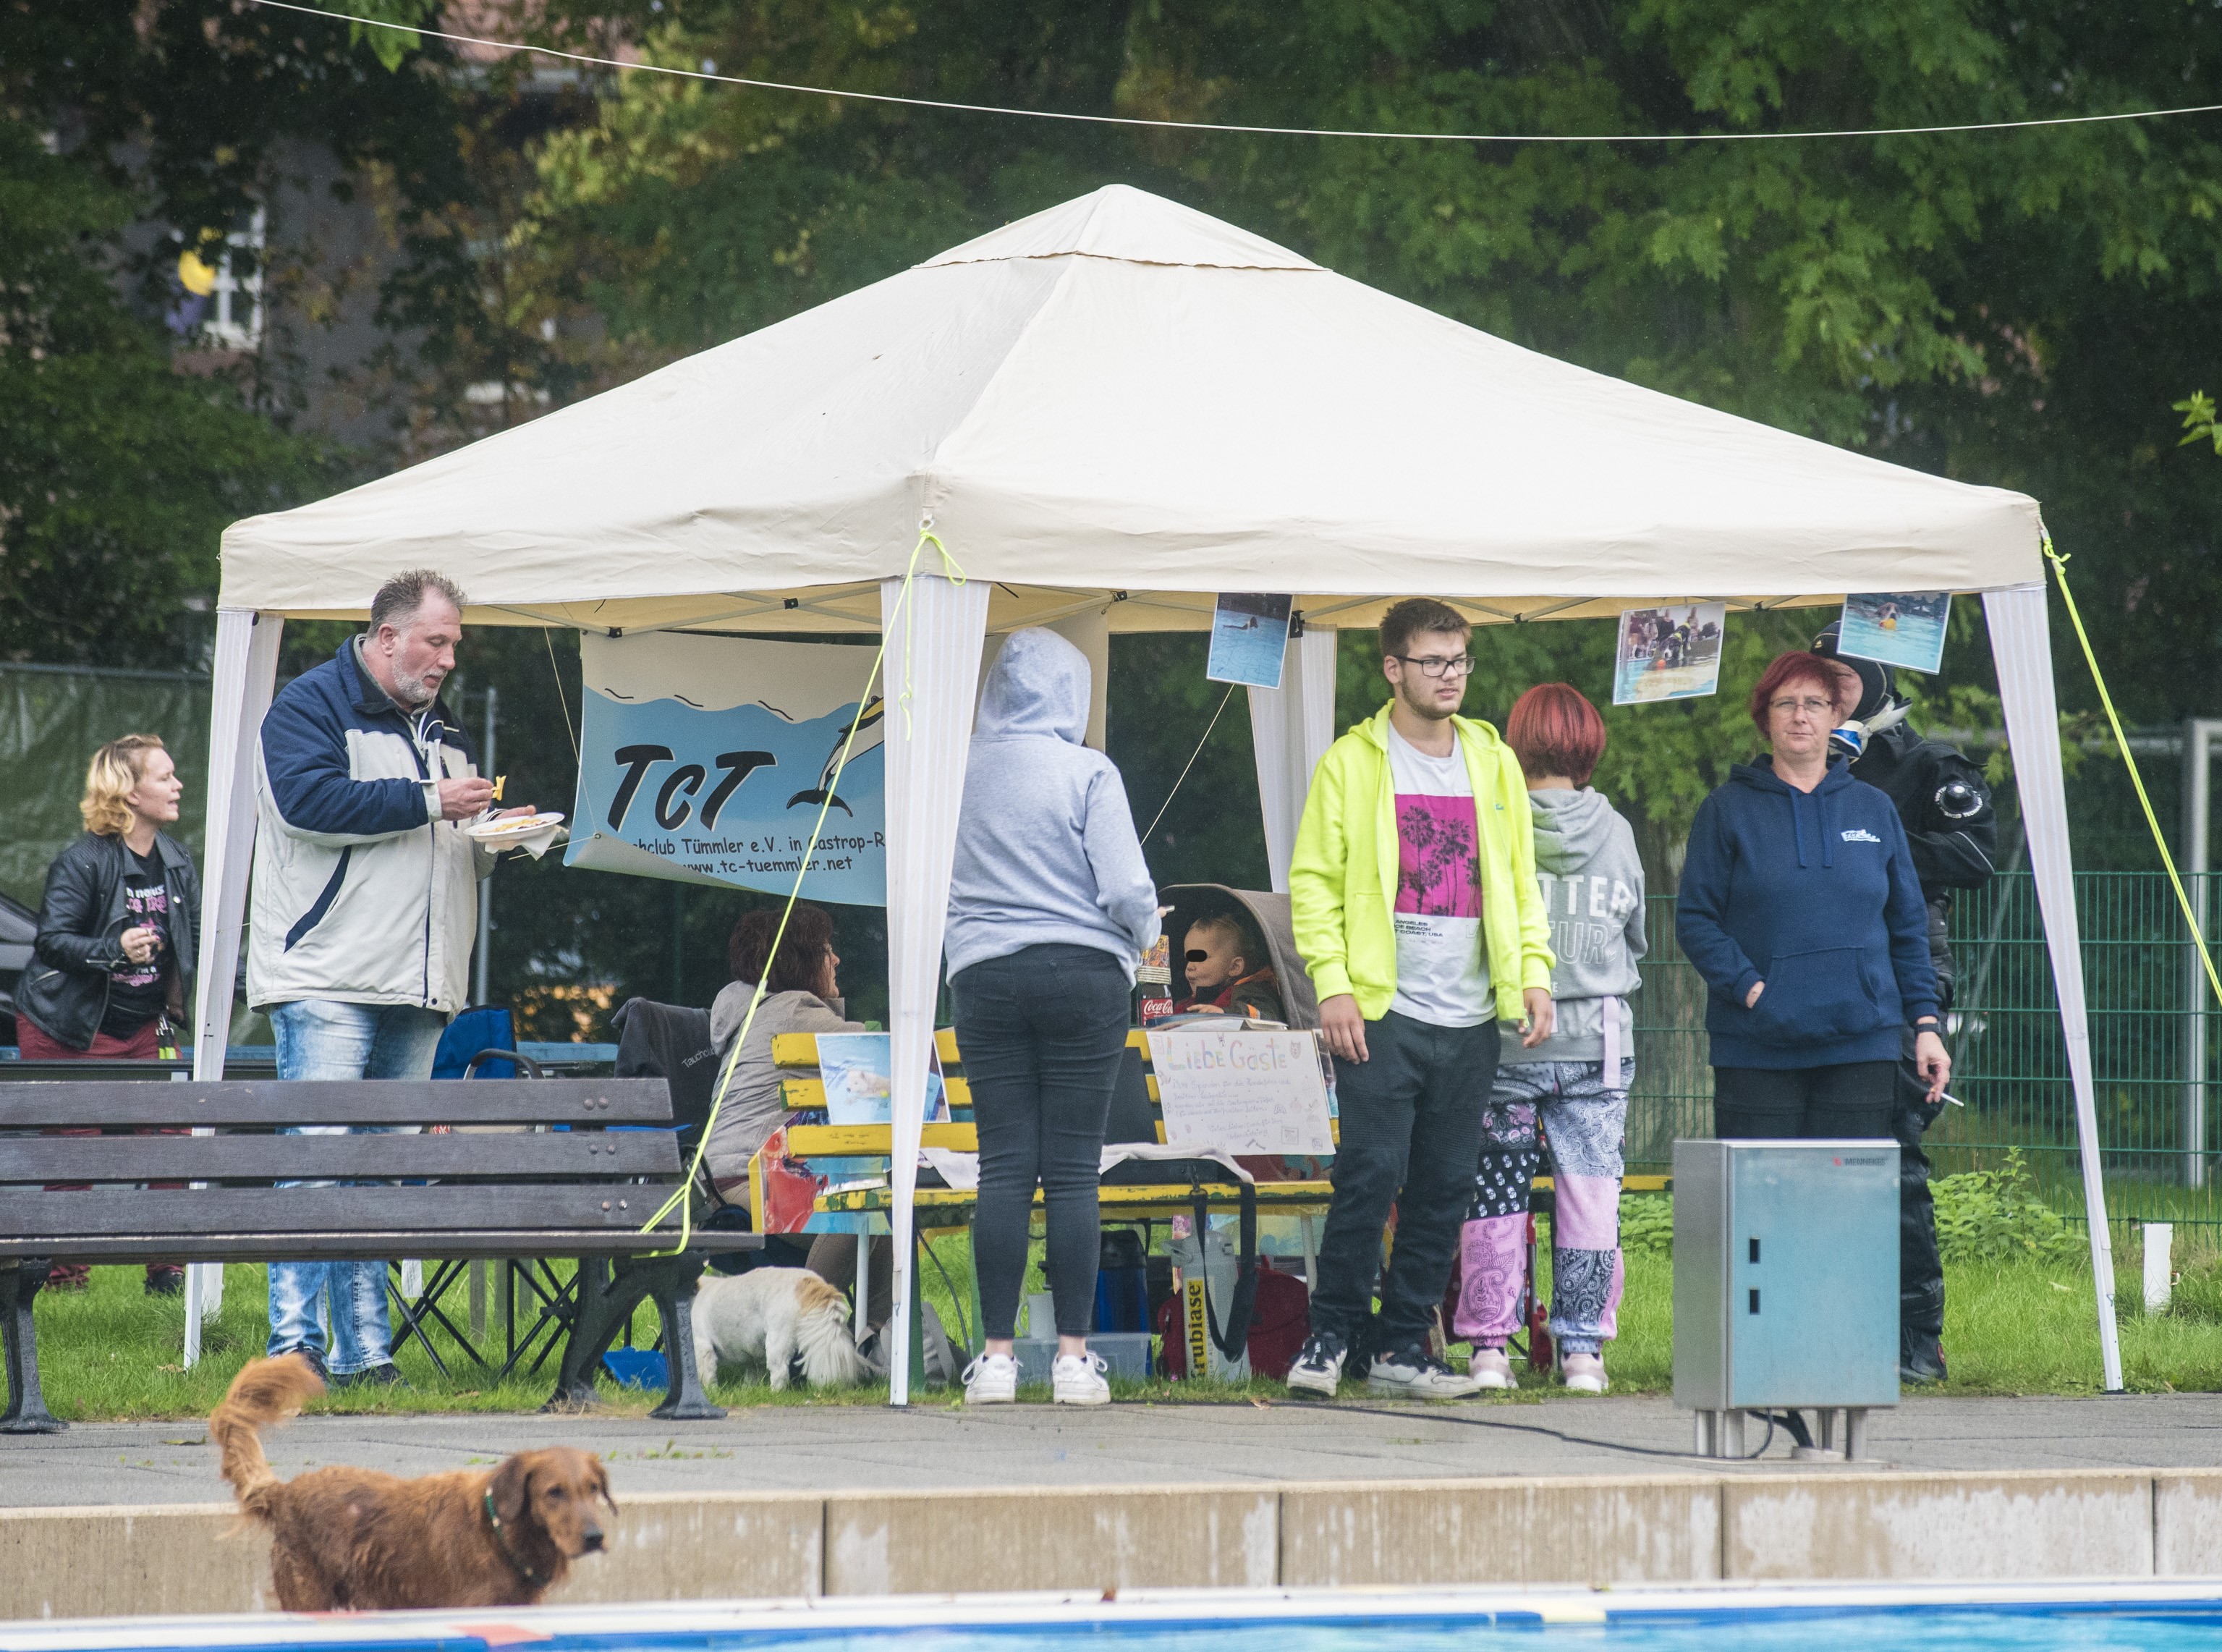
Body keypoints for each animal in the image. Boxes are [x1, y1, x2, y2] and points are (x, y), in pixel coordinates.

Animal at [213, 1352, 613, 1609]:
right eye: (554, 1492)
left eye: (593, 1490)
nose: (596, 1537)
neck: (498, 1530)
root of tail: (285, 1491)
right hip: (310, 1600)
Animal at [693, 1271, 866, 1387]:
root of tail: (809, 1280)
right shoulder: (752, 1356)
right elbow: (751, 1374)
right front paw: (749, 1390)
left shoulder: (702, 1347)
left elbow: (706, 1375)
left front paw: (710, 1391)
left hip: (778, 1341)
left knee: (780, 1372)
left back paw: (774, 1393)